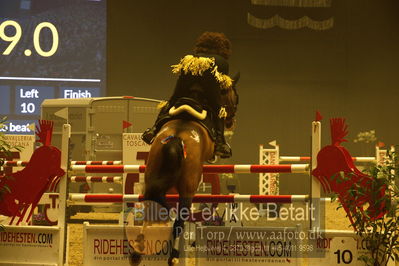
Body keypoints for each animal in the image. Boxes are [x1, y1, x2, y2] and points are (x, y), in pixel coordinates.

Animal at [130, 74, 239, 264]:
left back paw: (139, 249)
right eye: (234, 97)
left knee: (152, 207)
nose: (231, 121)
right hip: (188, 188)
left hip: (152, 177)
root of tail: (177, 138)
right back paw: (173, 257)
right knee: (179, 221)